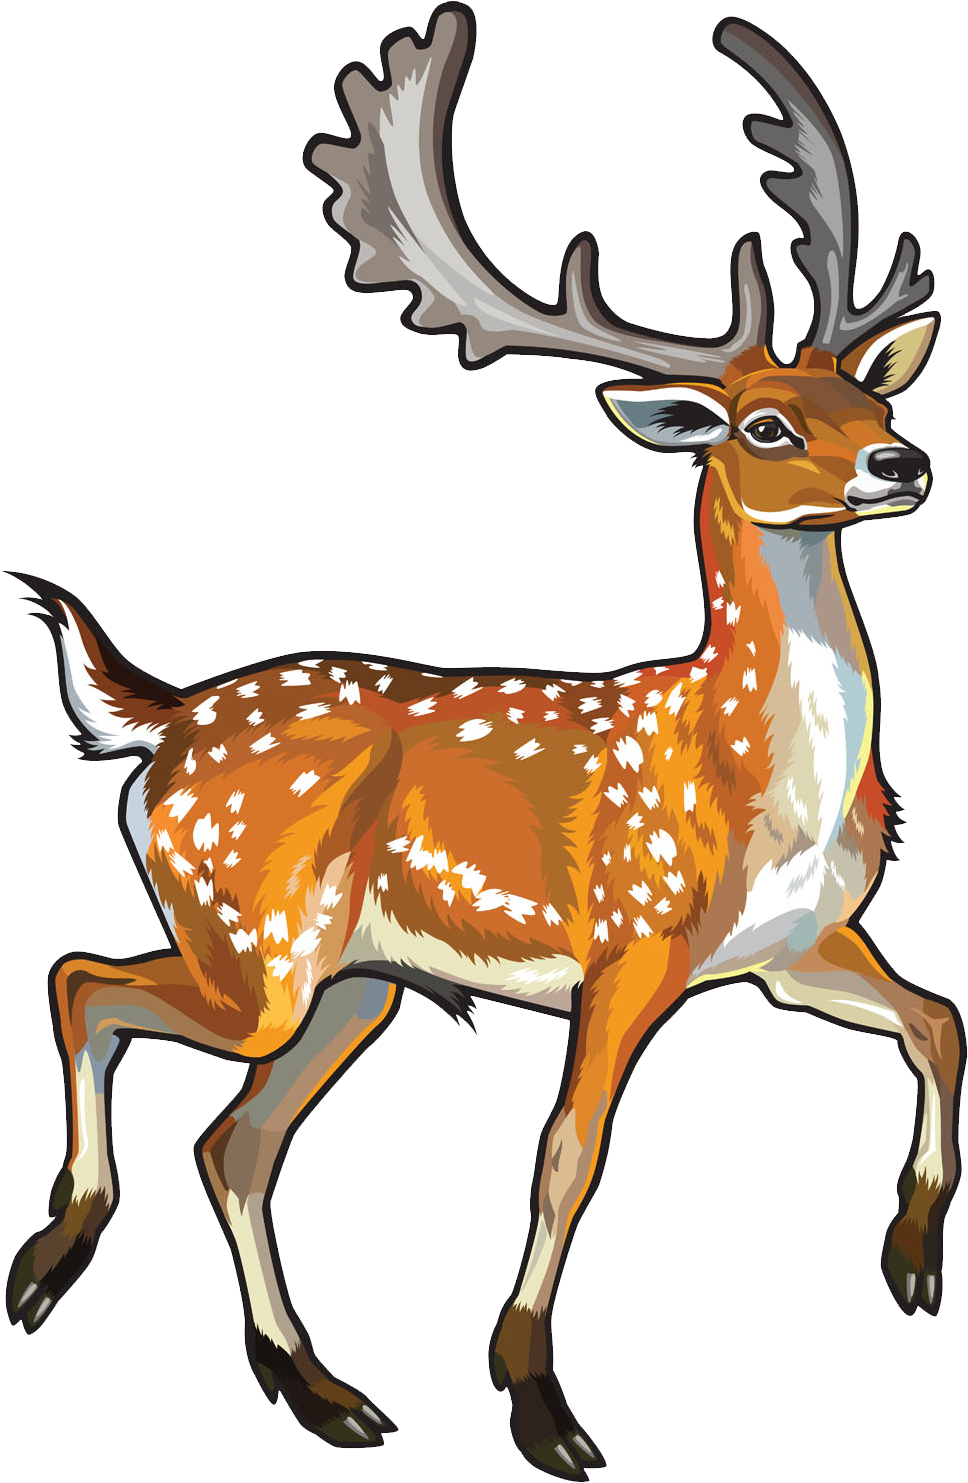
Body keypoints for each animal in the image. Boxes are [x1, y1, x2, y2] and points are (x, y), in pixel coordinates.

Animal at [6, 6, 962, 1479]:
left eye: (869, 397)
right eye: (765, 423)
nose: (900, 465)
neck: (752, 777)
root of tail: (164, 720)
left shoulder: (793, 945)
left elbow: (936, 1019)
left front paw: (913, 1255)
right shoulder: (629, 941)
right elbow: (568, 1152)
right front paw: (539, 1408)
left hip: (357, 980)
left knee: (235, 1139)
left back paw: (321, 1392)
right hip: (255, 941)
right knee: (83, 981)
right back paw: (52, 1259)